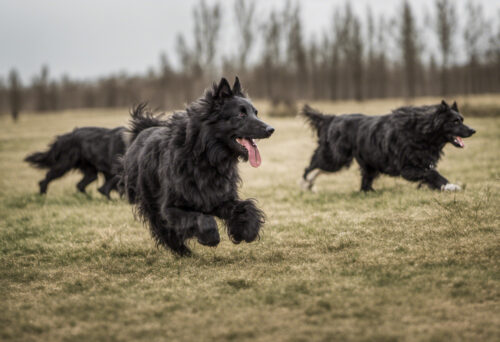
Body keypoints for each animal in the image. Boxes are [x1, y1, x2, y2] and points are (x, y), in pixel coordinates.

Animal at [119, 77, 276, 254]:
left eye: (255, 112)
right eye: (241, 114)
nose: (271, 129)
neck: (205, 156)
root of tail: (141, 131)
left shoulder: (219, 198)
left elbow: (245, 207)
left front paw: (248, 230)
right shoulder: (170, 208)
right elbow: (202, 219)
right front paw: (210, 237)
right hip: (149, 201)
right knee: (163, 229)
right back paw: (182, 251)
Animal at [300, 100, 476, 192]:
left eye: (462, 119)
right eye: (455, 121)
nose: (473, 130)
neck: (420, 130)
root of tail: (331, 118)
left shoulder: (423, 162)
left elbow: (431, 174)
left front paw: (445, 186)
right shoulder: (406, 168)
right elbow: (432, 173)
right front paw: (451, 185)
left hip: (364, 164)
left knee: (363, 183)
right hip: (336, 158)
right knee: (311, 167)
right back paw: (306, 184)